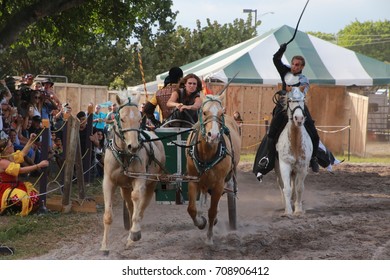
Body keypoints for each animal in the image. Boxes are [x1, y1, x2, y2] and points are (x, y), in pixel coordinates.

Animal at [100, 94, 165, 254]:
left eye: (139, 119)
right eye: (122, 119)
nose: (134, 146)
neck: (124, 154)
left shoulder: (140, 179)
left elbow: (137, 201)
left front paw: (134, 233)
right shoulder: (108, 182)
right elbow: (108, 215)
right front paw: (104, 246)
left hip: (151, 183)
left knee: (140, 208)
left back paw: (132, 235)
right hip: (124, 187)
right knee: (129, 206)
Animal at [186, 92, 241, 245]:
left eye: (221, 113)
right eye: (204, 112)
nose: (214, 135)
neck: (207, 153)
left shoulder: (219, 185)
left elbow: (212, 211)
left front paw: (209, 237)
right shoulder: (193, 180)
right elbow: (191, 209)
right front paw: (200, 222)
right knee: (203, 196)